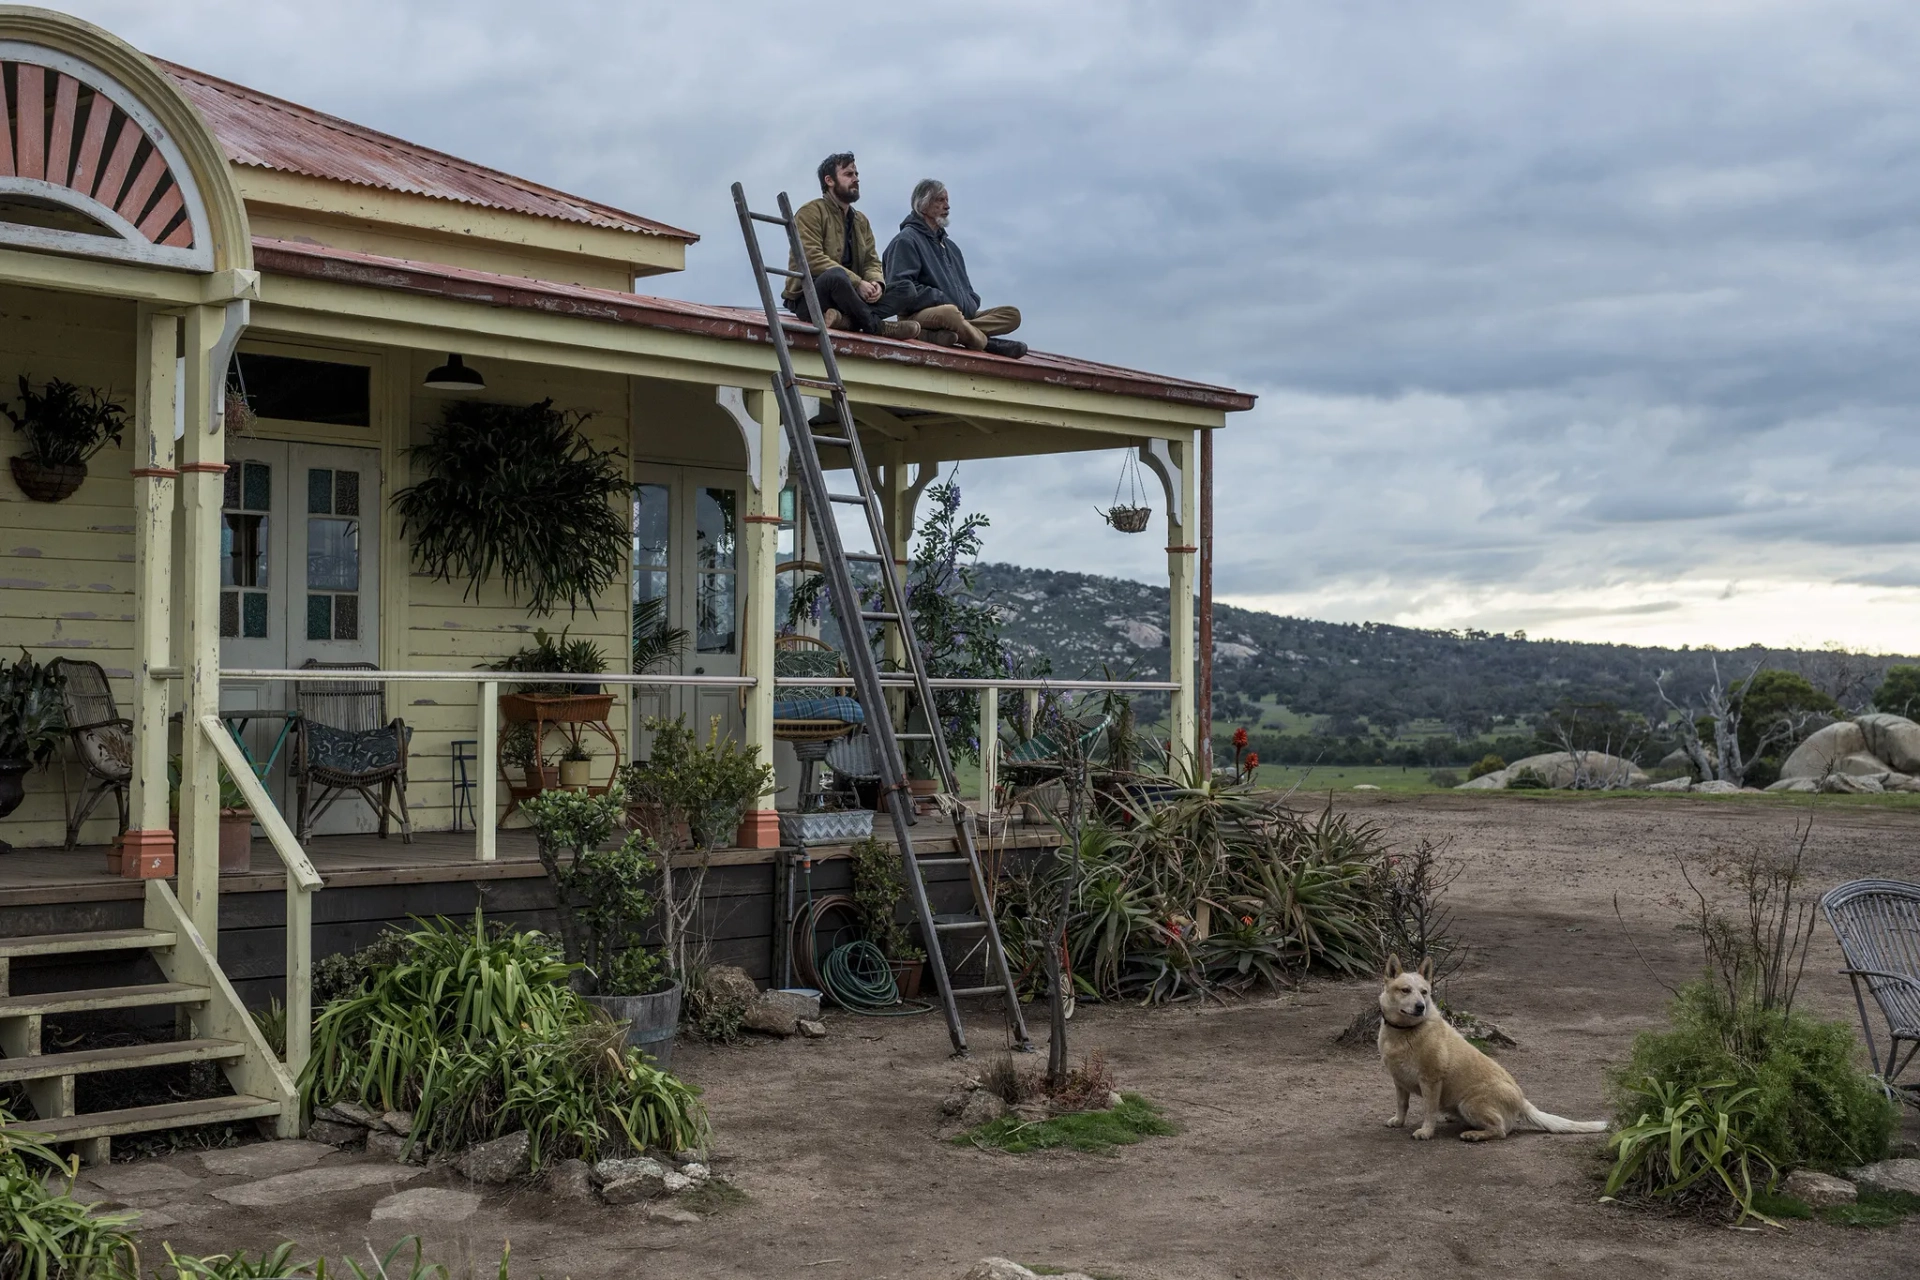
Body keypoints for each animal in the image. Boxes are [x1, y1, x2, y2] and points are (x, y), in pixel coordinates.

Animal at [1382, 955, 1605, 1143]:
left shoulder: (1431, 1080)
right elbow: (1402, 1104)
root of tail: (1522, 1100)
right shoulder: (1398, 1080)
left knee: (1501, 1130)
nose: (1420, 1007)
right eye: (1405, 990)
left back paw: (1474, 1134)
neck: (1404, 1032)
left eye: (1424, 992)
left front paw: (1426, 1131)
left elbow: (1429, 1109)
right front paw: (1398, 1121)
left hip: (1469, 1103)